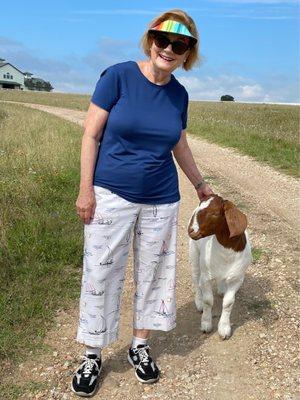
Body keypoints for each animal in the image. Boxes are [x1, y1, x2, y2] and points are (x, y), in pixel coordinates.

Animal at [189, 195, 252, 340]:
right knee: (196, 278)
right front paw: (206, 324)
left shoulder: (237, 279)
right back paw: (198, 302)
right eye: (199, 207)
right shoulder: (206, 277)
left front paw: (224, 328)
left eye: (215, 213)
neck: (226, 252)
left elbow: (228, 303)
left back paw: (221, 289)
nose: (191, 231)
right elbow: (208, 301)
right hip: (194, 254)